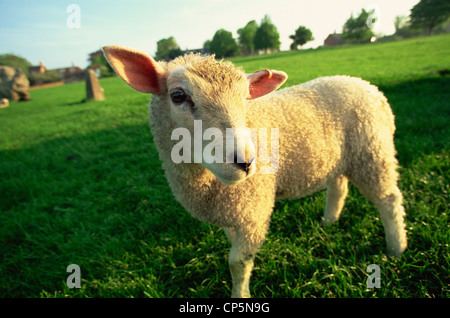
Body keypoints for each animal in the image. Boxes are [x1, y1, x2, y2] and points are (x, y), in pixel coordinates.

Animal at [103, 45, 408, 298]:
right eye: (177, 96)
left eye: (245, 99)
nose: (246, 162)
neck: (206, 185)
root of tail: (368, 87)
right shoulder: (230, 211)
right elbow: (231, 247)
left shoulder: (254, 210)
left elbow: (237, 262)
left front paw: (240, 296)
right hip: (339, 159)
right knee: (339, 186)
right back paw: (329, 221)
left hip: (372, 153)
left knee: (389, 199)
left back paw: (396, 248)